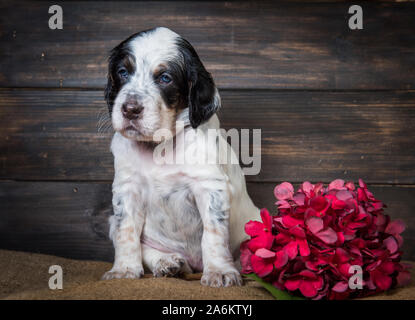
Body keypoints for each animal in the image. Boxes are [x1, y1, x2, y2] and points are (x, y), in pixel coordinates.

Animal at [103, 27, 260, 288]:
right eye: (123, 72)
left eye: (165, 78)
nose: (130, 109)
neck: (159, 145)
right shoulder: (127, 188)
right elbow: (127, 232)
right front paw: (124, 269)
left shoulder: (210, 186)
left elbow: (213, 234)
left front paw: (220, 272)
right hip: (111, 224)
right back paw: (168, 263)